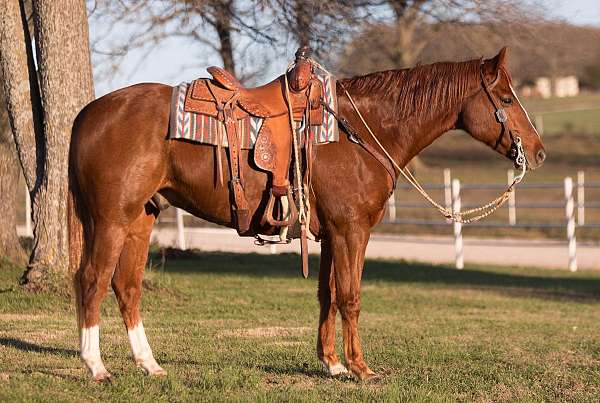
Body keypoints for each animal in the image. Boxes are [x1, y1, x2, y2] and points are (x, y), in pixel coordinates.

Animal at [69, 48, 544, 382]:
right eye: (505, 98)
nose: (538, 153)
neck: (360, 130)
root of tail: (87, 113)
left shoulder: (332, 234)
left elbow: (327, 294)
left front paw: (331, 364)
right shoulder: (352, 231)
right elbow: (350, 296)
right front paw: (361, 368)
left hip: (140, 220)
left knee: (127, 286)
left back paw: (149, 365)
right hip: (111, 220)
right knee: (92, 280)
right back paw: (96, 367)